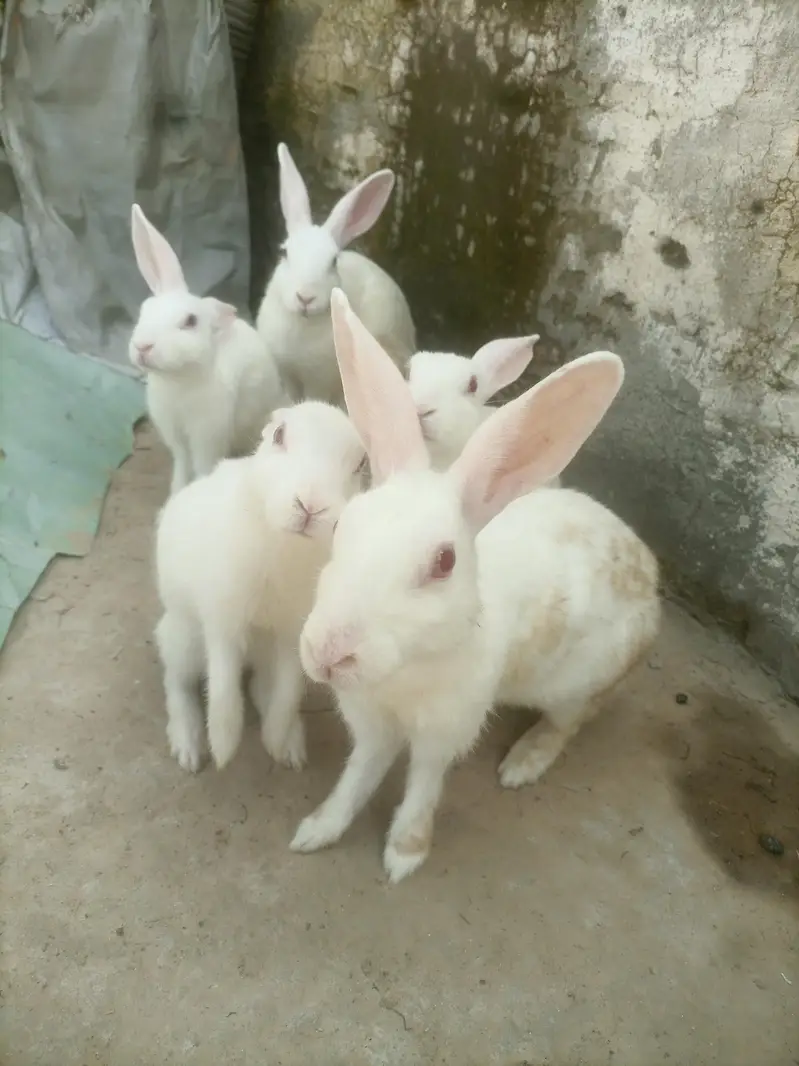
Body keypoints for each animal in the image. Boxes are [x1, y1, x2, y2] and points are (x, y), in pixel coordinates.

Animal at [129, 203, 286, 496]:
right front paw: (177, 492)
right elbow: (181, 466)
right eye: (145, 309)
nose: (143, 346)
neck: (177, 381)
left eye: (190, 321)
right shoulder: (177, 438)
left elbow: (202, 466)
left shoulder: (207, 435)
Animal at [154, 399, 367, 774]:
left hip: (265, 653)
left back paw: (290, 743)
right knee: (177, 682)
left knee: (262, 686)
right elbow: (223, 685)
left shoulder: (292, 635)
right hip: (186, 639)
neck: (284, 542)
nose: (310, 506)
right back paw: (188, 746)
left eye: (360, 464)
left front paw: (276, 740)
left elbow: (288, 693)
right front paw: (223, 747)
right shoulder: (222, 623)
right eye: (279, 436)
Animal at [255, 142, 416, 405]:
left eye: (333, 262)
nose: (305, 298)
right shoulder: (286, 373)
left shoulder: (319, 381)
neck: (302, 325)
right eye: (284, 253)